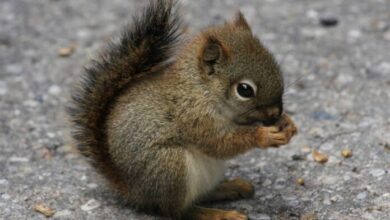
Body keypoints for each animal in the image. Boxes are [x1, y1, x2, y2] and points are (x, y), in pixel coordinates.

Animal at [68, 0, 298, 219]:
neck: (201, 90)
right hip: (171, 167)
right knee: (178, 211)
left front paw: (287, 124)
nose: (275, 112)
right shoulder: (194, 118)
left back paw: (231, 187)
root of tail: (133, 191)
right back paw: (216, 214)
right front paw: (264, 136)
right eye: (244, 90)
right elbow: (219, 143)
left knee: (202, 195)